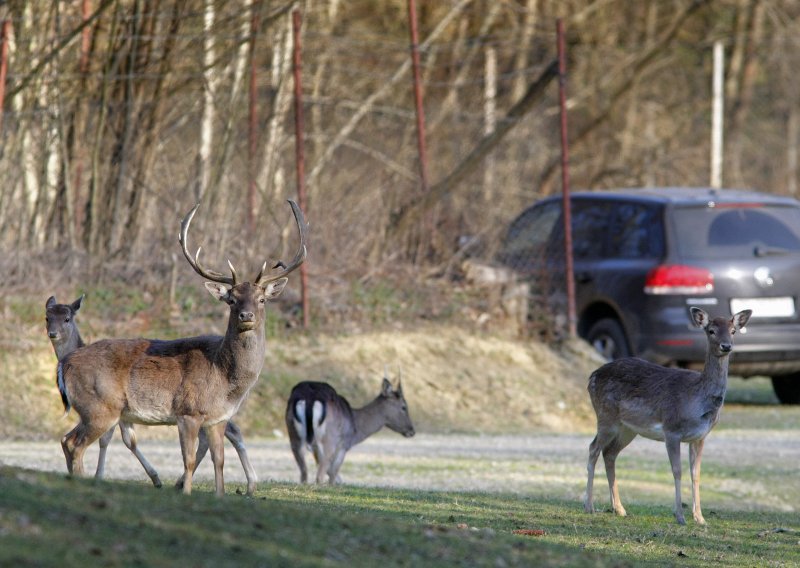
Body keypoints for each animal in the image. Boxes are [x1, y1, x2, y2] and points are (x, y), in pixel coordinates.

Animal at [47, 296, 258, 494]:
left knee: (228, 432)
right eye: (47, 317)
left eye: (67, 318)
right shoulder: (124, 414)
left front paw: (152, 479)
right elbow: (126, 440)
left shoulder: (118, 413)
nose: (52, 333)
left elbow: (114, 440)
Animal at [284, 372, 416, 484]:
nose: (412, 430)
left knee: (304, 474)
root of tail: (310, 399)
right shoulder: (343, 445)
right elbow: (333, 474)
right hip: (329, 440)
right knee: (319, 476)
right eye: (404, 407)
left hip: (294, 436)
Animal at [584, 308, 752, 524]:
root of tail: (592, 377)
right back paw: (589, 506)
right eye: (711, 331)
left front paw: (700, 518)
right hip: (606, 416)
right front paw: (680, 516)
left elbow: (696, 474)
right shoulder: (672, 430)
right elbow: (677, 471)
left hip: (627, 428)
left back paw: (619, 508)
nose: (726, 346)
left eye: (733, 331)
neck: (697, 400)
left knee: (609, 453)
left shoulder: (700, 437)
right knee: (593, 448)